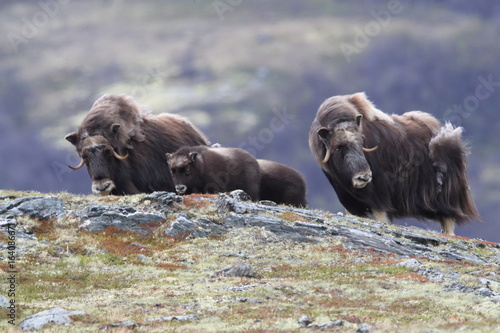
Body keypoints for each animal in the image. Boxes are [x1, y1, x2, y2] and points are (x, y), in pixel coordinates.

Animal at [308, 92, 480, 235]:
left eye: (361, 141)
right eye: (338, 147)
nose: (364, 177)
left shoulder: (379, 198)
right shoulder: (348, 200)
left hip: (447, 198)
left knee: (449, 221)